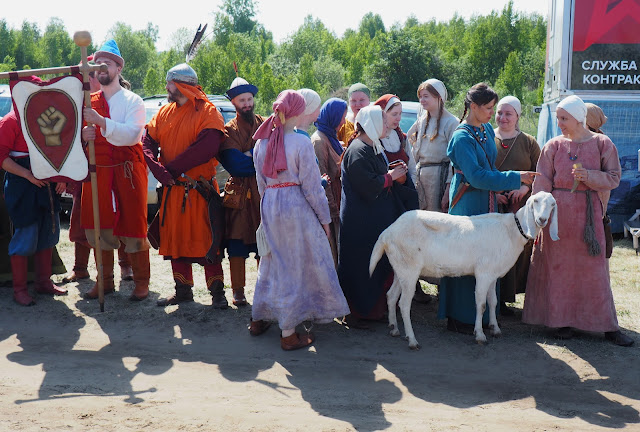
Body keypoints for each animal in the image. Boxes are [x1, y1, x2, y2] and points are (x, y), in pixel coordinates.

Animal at [368, 191, 556, 350]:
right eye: (535, 201)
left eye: (553, 204)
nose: (542, 219)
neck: (512, 230)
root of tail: (387, 233)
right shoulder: (483, 273)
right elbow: (481, 304)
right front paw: (480, 335)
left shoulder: (493, 274)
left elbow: (493, 302)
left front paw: (495, 329)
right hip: (409, 268)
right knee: (404, 304)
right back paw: (412, 340)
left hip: (401, 267)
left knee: (391, 296)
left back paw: (394, 329)